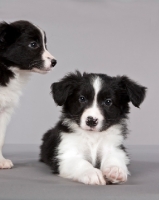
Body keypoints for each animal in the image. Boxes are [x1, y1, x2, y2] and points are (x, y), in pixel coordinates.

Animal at [0, 19, 56, 169]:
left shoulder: (4, 110)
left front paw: (1, 161)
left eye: (45, 44)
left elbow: (0, 137)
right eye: (33, 44)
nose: (54, 62)